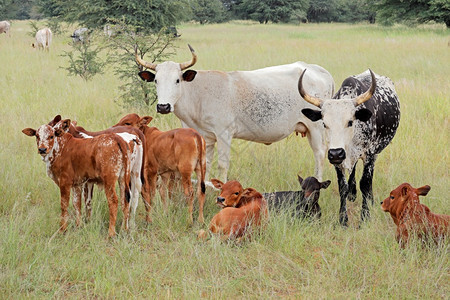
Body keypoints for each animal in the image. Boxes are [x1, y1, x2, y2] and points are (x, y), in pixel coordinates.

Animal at [134, 43, 334, 182]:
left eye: (177, 80)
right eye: (156, 81)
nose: (163, 107)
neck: (199, 95)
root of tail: (317, 69)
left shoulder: (224, 134)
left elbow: (223, 165)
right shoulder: (205, 138)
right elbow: (204, 165)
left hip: (316, 128)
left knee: (319, 154)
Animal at [298, 69, 400, 225]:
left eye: (350, 122)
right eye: (324, 124)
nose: (336, 153)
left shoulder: (369, 154)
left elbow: (365, 183)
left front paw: (365, 217)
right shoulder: (337, 160)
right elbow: (343, 187)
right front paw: (343, 219)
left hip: (374, 153)